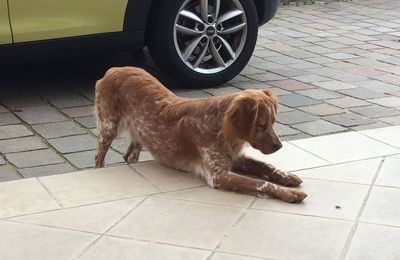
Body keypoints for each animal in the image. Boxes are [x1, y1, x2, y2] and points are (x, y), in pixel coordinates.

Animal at [95, 67, 308, 203]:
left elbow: (266, 166)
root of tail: (112, 69)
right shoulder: (218, 175)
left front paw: (286, 176)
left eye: (273, 122)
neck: (221, 128)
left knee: (129, 155)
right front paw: (288, 193)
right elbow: (259, 183)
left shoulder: (237, 158)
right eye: (261, 125)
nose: (279, 146)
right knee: (99, 157)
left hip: (140, 133)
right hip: (108, 127)